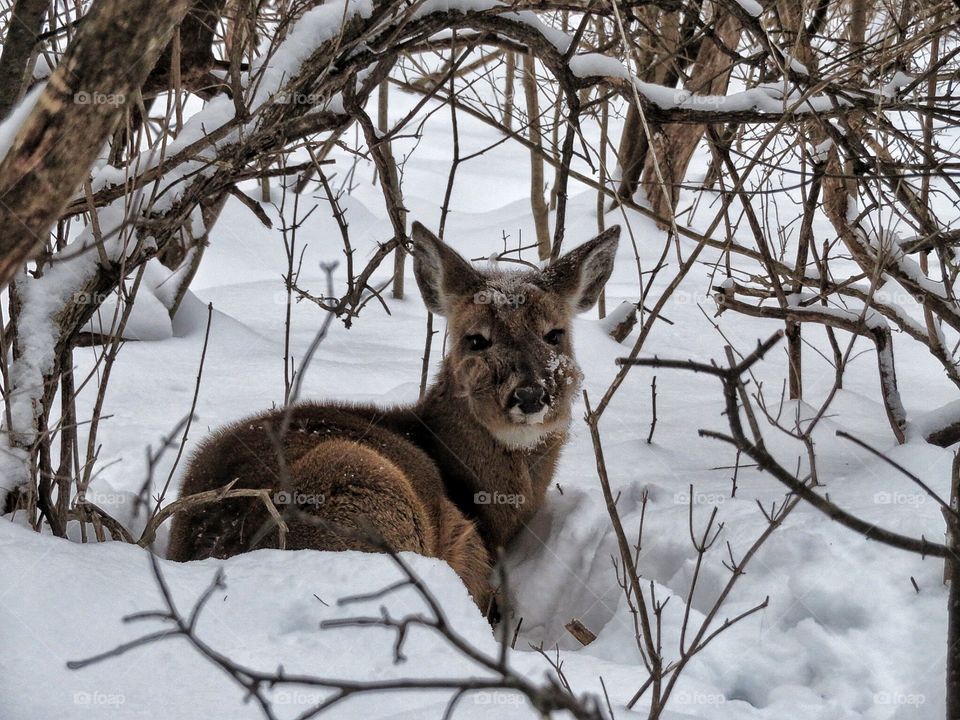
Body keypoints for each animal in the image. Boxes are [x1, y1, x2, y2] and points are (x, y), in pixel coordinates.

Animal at [168, 222, 620, 612]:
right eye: (476, 340)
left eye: (555, 334)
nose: (529, 395)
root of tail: (223, 546)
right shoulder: (465, 539)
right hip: (364, 486)